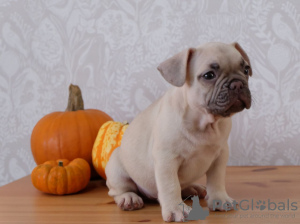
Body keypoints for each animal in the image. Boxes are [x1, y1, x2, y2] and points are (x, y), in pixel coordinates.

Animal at [105, 42, 251, 222]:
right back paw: (129, 198)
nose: (237, 84)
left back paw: (192, 188)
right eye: (209, 75)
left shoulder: (220, 155)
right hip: (116, 168)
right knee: (118, 190)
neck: (204, 122)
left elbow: (216, 179)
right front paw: (176, 209)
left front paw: (219, 199)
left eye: (246, 70)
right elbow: (170, 186)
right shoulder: (166, 160)